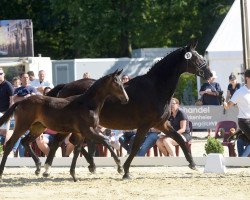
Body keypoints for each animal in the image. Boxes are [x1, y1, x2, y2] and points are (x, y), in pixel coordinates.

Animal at [0, 69, 129, 179]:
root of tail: (21, 102)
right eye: (116, 83)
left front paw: (74, 173)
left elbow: (77, 150)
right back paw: (3, 172)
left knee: (25, 141)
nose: (126, 99)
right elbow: (105, 141)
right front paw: (119, 167)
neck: (87, 104)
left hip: (37, 127)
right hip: (23, 125)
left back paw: (39, 167)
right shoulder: (88, 130)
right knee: (10, 144)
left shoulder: (81, 133)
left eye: (122, 82)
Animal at [44, 40, 212, 178]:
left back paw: (89, 166)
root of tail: (65, 86)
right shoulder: (144, 125)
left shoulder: (161, 124)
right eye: (196, 59)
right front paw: (125, 171)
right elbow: (136, 147)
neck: (156, 88)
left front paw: (193, 164)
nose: (210, 74)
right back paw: (48, 169)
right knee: (62, 141)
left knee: (71, 141)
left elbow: (180, 139)